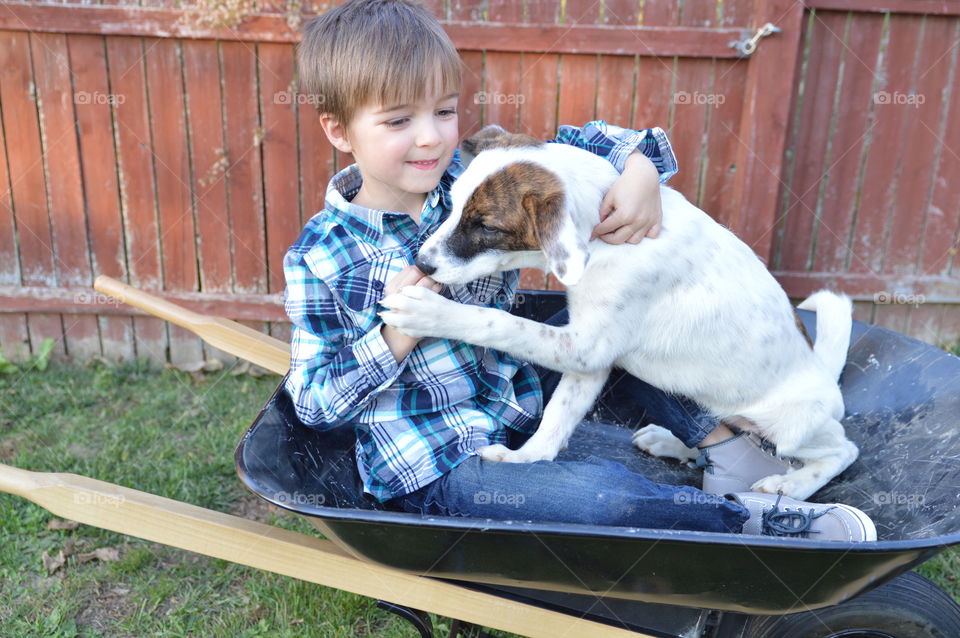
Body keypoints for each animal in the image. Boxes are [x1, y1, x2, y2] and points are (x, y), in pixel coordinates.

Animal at [378, 126, 860, 504]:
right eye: (452, 204)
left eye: (486, 226)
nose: (422, 264)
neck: (599, 236)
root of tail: (825, 374)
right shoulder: (588, 363)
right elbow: (554, 424)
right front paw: (525, 458)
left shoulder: (585, 347)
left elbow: (500, 323)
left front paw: (428, 311)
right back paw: (672, 444)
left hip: (793, 424)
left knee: (842, 451)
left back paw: (789, 486)